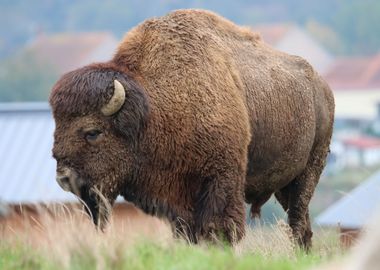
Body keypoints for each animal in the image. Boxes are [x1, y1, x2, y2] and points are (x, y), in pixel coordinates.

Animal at [49, 8, 334, 249]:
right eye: (57, 127)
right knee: (303, 223)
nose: (64, 178)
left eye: (93, 132)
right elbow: (186, 231)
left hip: (309, 171)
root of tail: (322, 87)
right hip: (285, 184)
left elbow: (221, 228)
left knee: (297, 219)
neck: (154, 109)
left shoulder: (221, 179)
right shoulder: (176, 197)